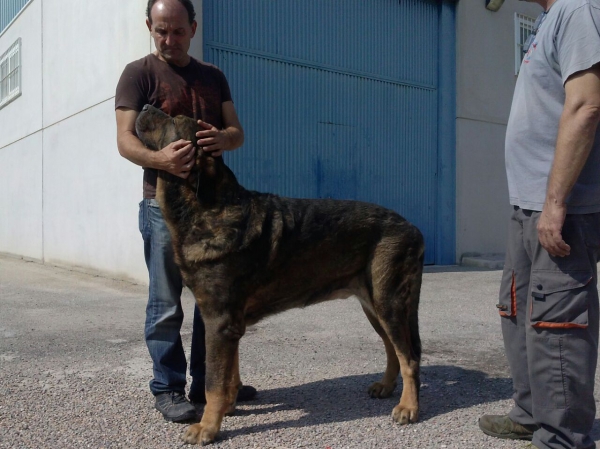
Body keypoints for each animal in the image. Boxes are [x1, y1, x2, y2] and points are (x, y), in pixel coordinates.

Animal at [136, 105, 426, 444]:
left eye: (172, 119)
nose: (144, 107)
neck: (206, 208)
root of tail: (412, 228)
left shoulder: (219, 322)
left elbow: (214, 382)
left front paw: (207, 427)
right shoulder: (230, 324)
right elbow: (229, 374)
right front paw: (228, 408)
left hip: (389, 302)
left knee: (409, 357)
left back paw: (408, 407)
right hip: (374, 307)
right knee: (393, 349)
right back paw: (386, 387)